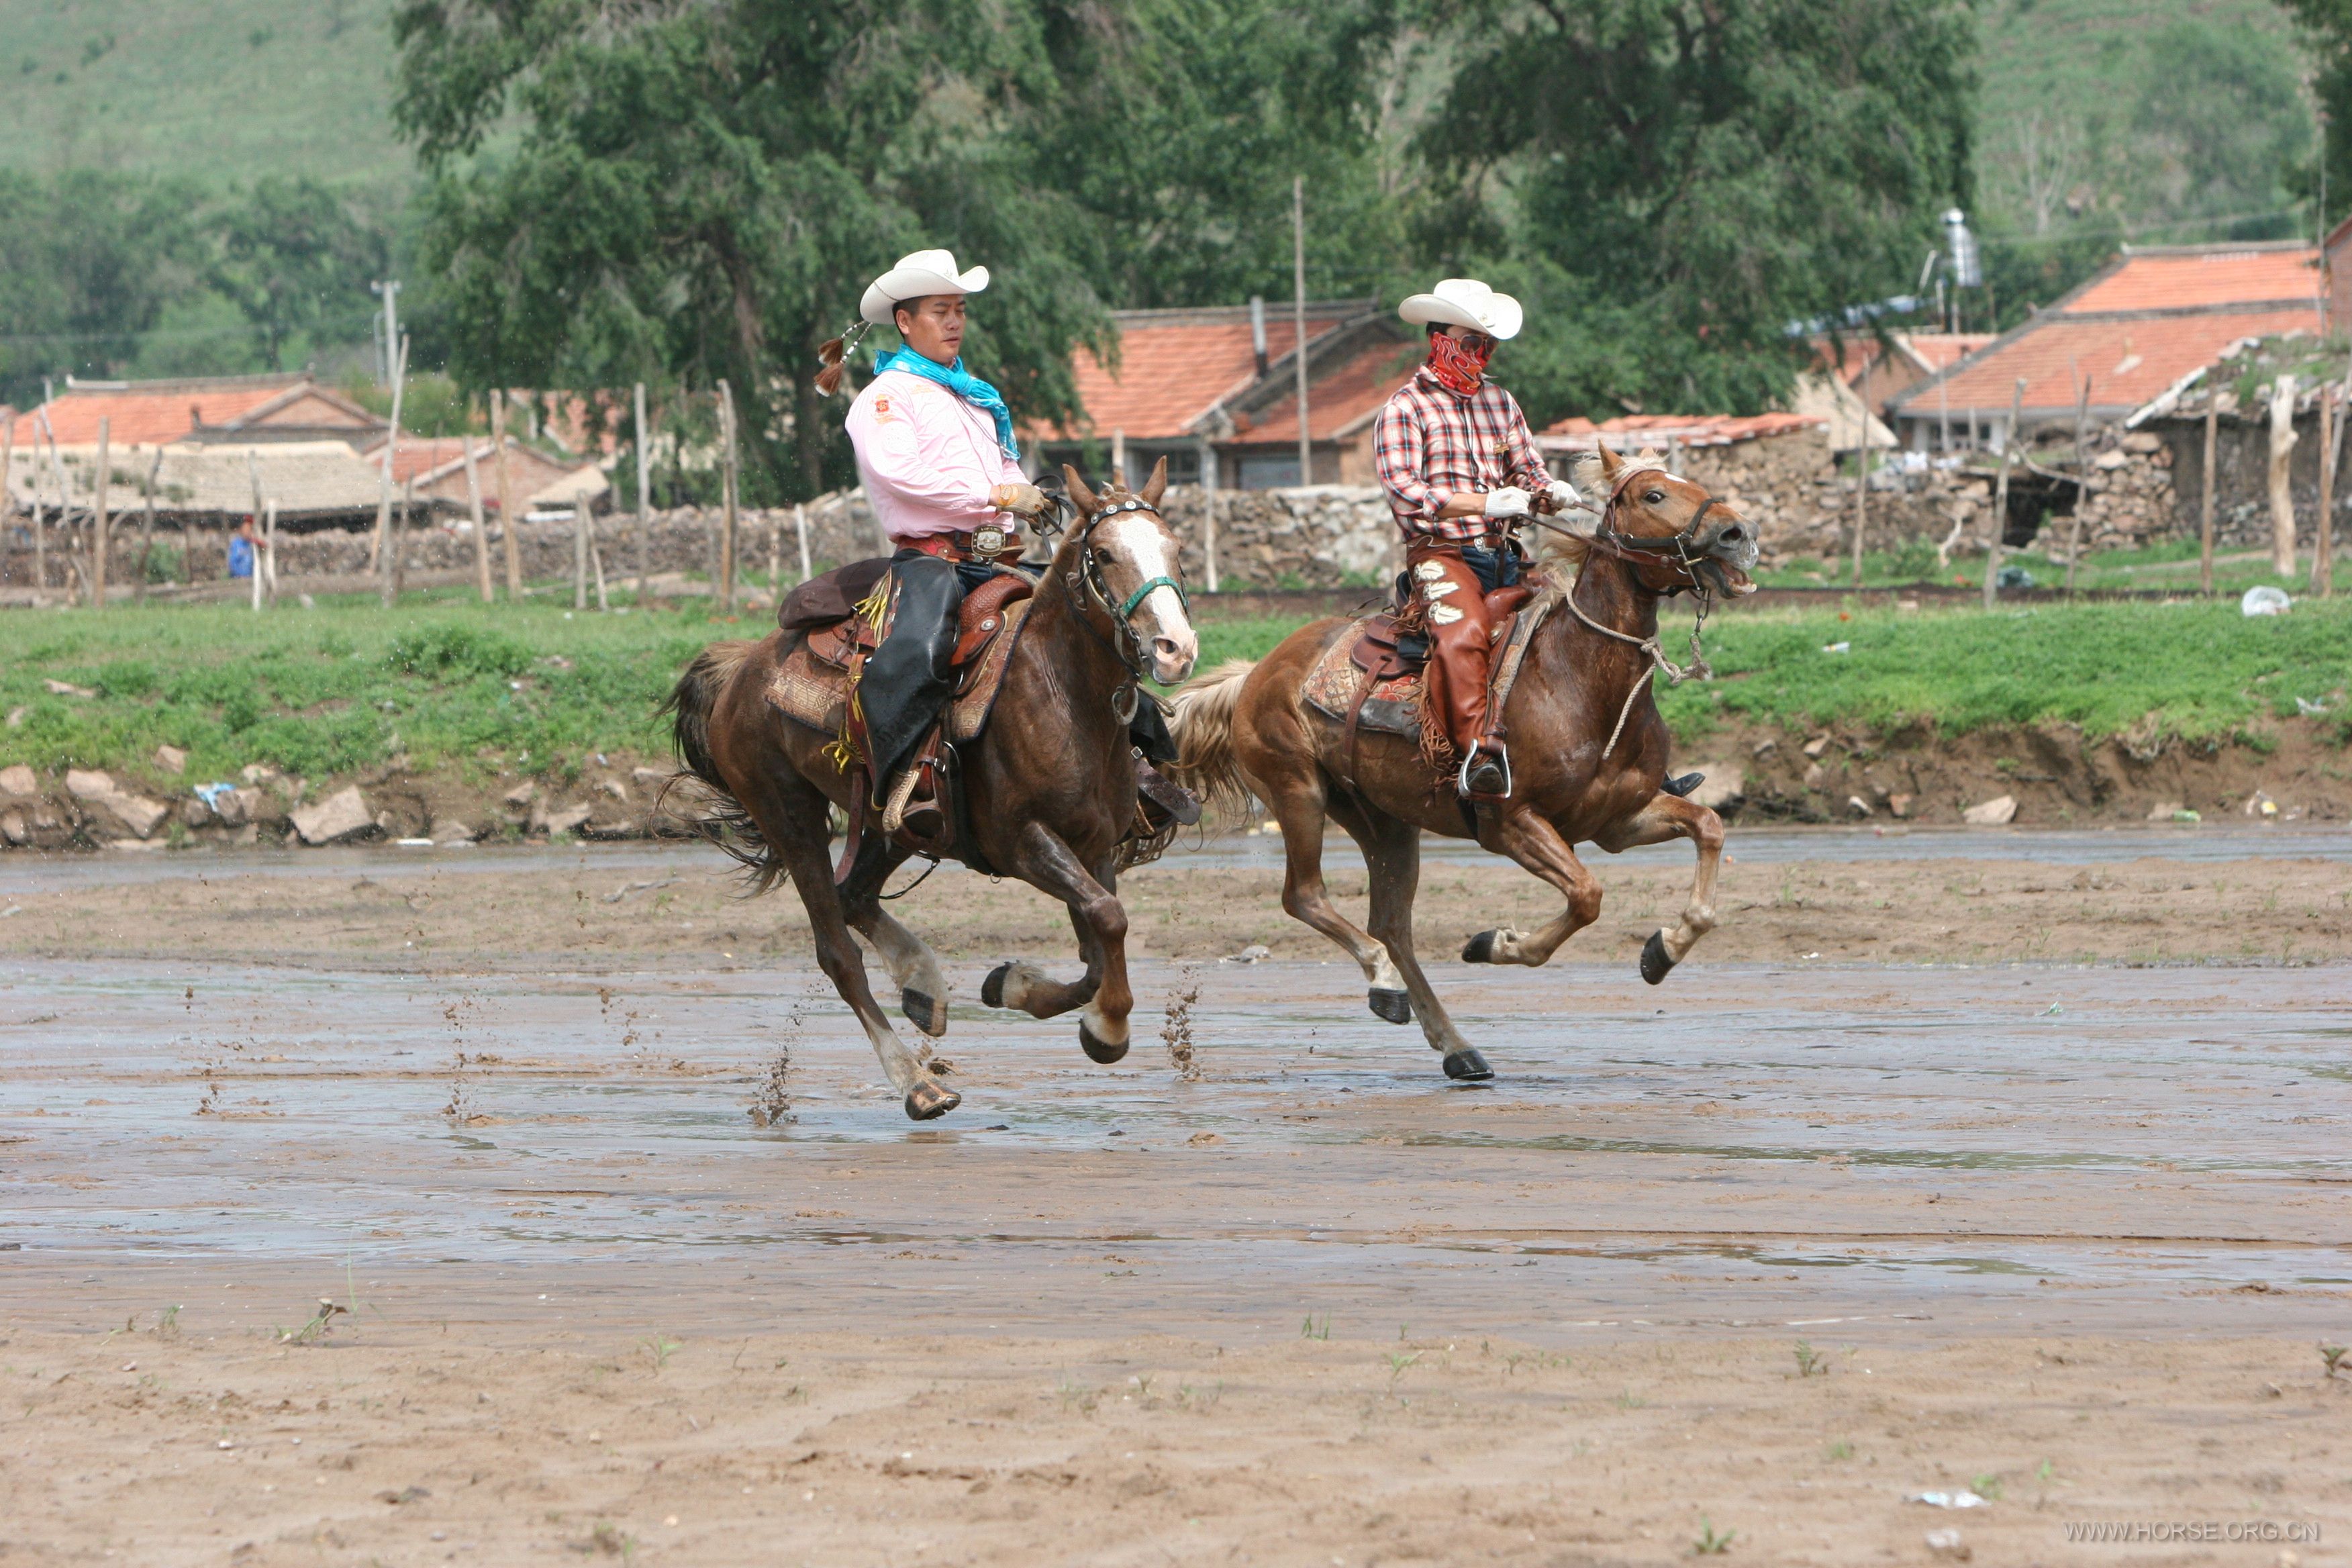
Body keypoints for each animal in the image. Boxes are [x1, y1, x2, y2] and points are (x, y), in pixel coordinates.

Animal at [673, 460, 1204, 1124]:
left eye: (1176, 550)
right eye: (1104, 554)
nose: (1176, 650)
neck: (1060, 692)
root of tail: (742, 667)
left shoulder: (1095, 845)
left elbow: (1098, 944)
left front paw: (1021, 989)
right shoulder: (1023, 843)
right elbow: (1107, 921)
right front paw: (1100, 1025)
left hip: (892, 822)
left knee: (855, 894)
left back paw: (923, 987)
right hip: (789, 816)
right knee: (837, 952)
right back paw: (918, 1084)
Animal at [1166, 442, 1759, 1081]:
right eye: (1654, 494)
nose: (1738, 533)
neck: (1578, 677)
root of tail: (1256, 673)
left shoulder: (1620, 819)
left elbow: (1710, 827)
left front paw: (1662, 951)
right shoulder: (1512, 824)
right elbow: (1586, 895)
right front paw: (1494, 944)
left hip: (1385, 822)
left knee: (1391, 925)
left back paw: (1451, 1042)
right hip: (1298, 791)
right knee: (1307, 897)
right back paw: (1385, 982)